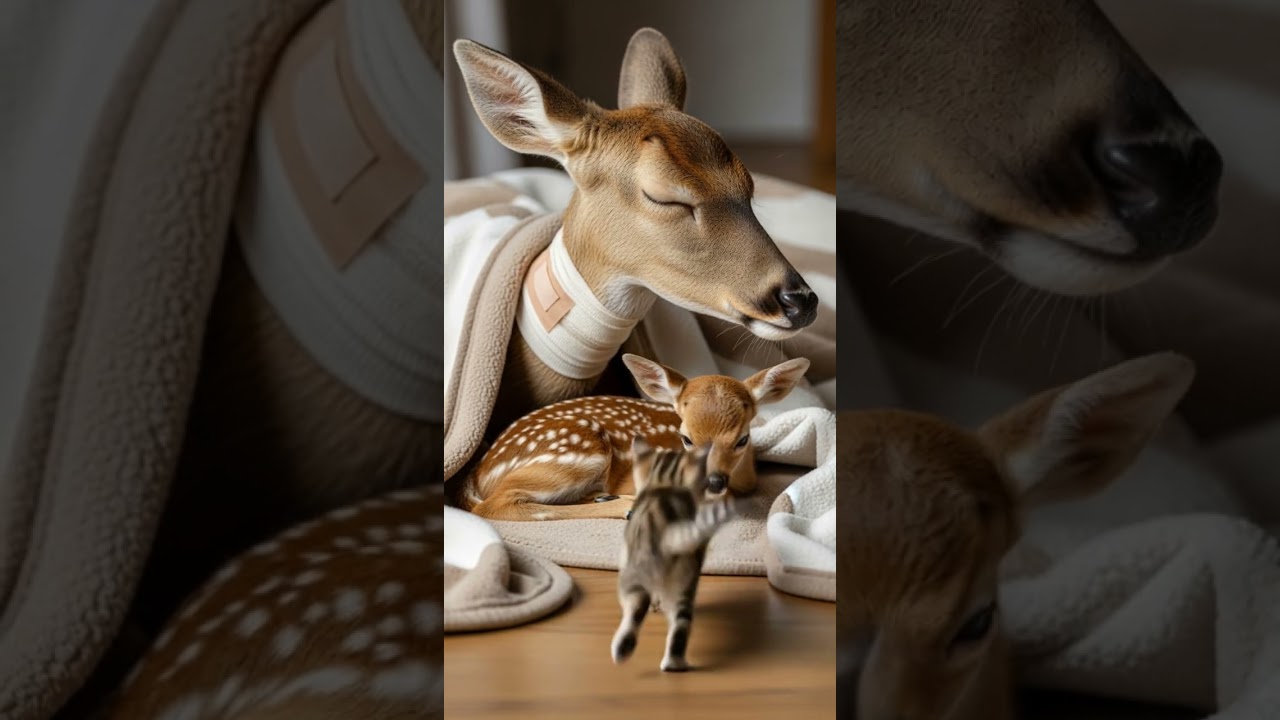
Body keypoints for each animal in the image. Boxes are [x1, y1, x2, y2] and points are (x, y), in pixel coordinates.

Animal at [459, 353, 810, 521]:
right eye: (686, 438)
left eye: (742, 440)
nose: (713, 481)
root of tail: (479, 473)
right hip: (579, 451)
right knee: (494, 506)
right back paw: (626, 506)